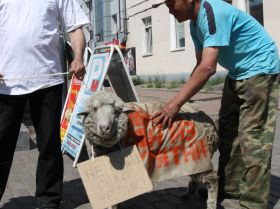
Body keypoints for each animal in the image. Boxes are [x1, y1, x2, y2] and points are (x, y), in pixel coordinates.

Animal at [78, 90, 219, 209]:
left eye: (117, 111)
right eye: (94, 109)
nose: (104, 128)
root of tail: (204, 114)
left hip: (201, 154)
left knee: (213, 179)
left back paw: (211, 204)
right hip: (191, 159)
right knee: (195, 179)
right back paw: (187, 195)